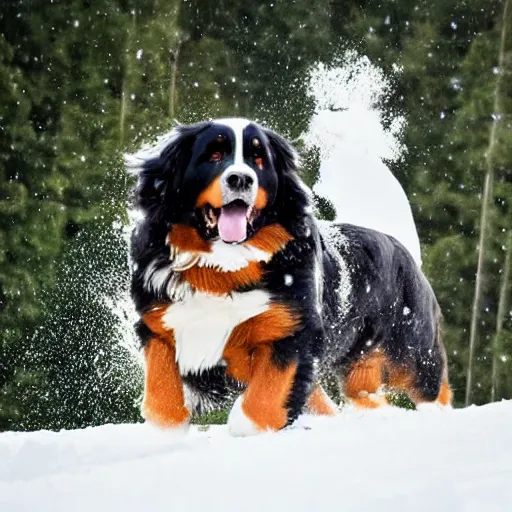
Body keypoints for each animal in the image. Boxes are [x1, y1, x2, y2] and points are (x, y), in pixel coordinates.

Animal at [127, 117, 452, 436]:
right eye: (214, 154)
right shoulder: (158, 320)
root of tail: (400, 246)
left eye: (259, 158)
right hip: (361, 365)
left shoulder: (291, 328)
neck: (224, 266)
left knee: (435, 389)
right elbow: (161, 398)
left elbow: (260, 404)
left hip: (412, 349)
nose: (240, 179)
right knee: (361, 395)